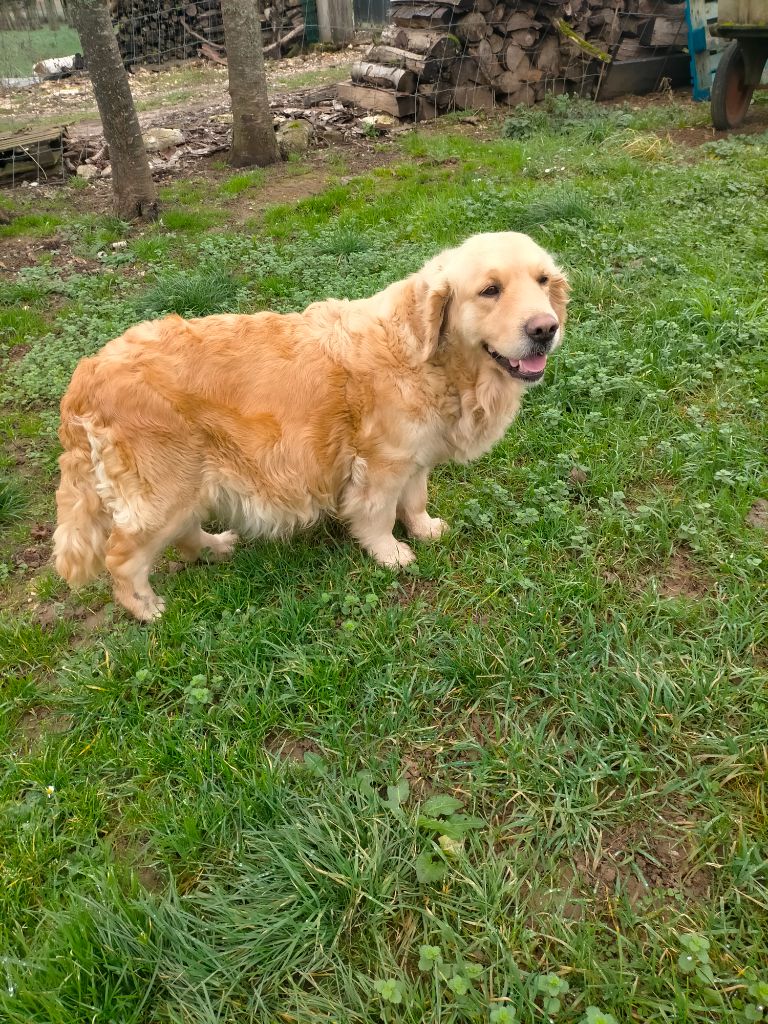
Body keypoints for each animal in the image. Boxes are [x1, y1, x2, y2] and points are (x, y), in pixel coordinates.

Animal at [54, 231, 569, 614]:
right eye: (490, 290)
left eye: (543, 280)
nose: (545, 329)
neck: (431, 359)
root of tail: (87, 372)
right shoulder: (381, 466)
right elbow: (379, 516)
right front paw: (391, 553)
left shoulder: (414, 459)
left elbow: (416, 501)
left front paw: (424, 529)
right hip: (165, 490)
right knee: (121, 558)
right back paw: (146, 608)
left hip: (191, 483)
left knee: (183, 534)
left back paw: (214, 546)